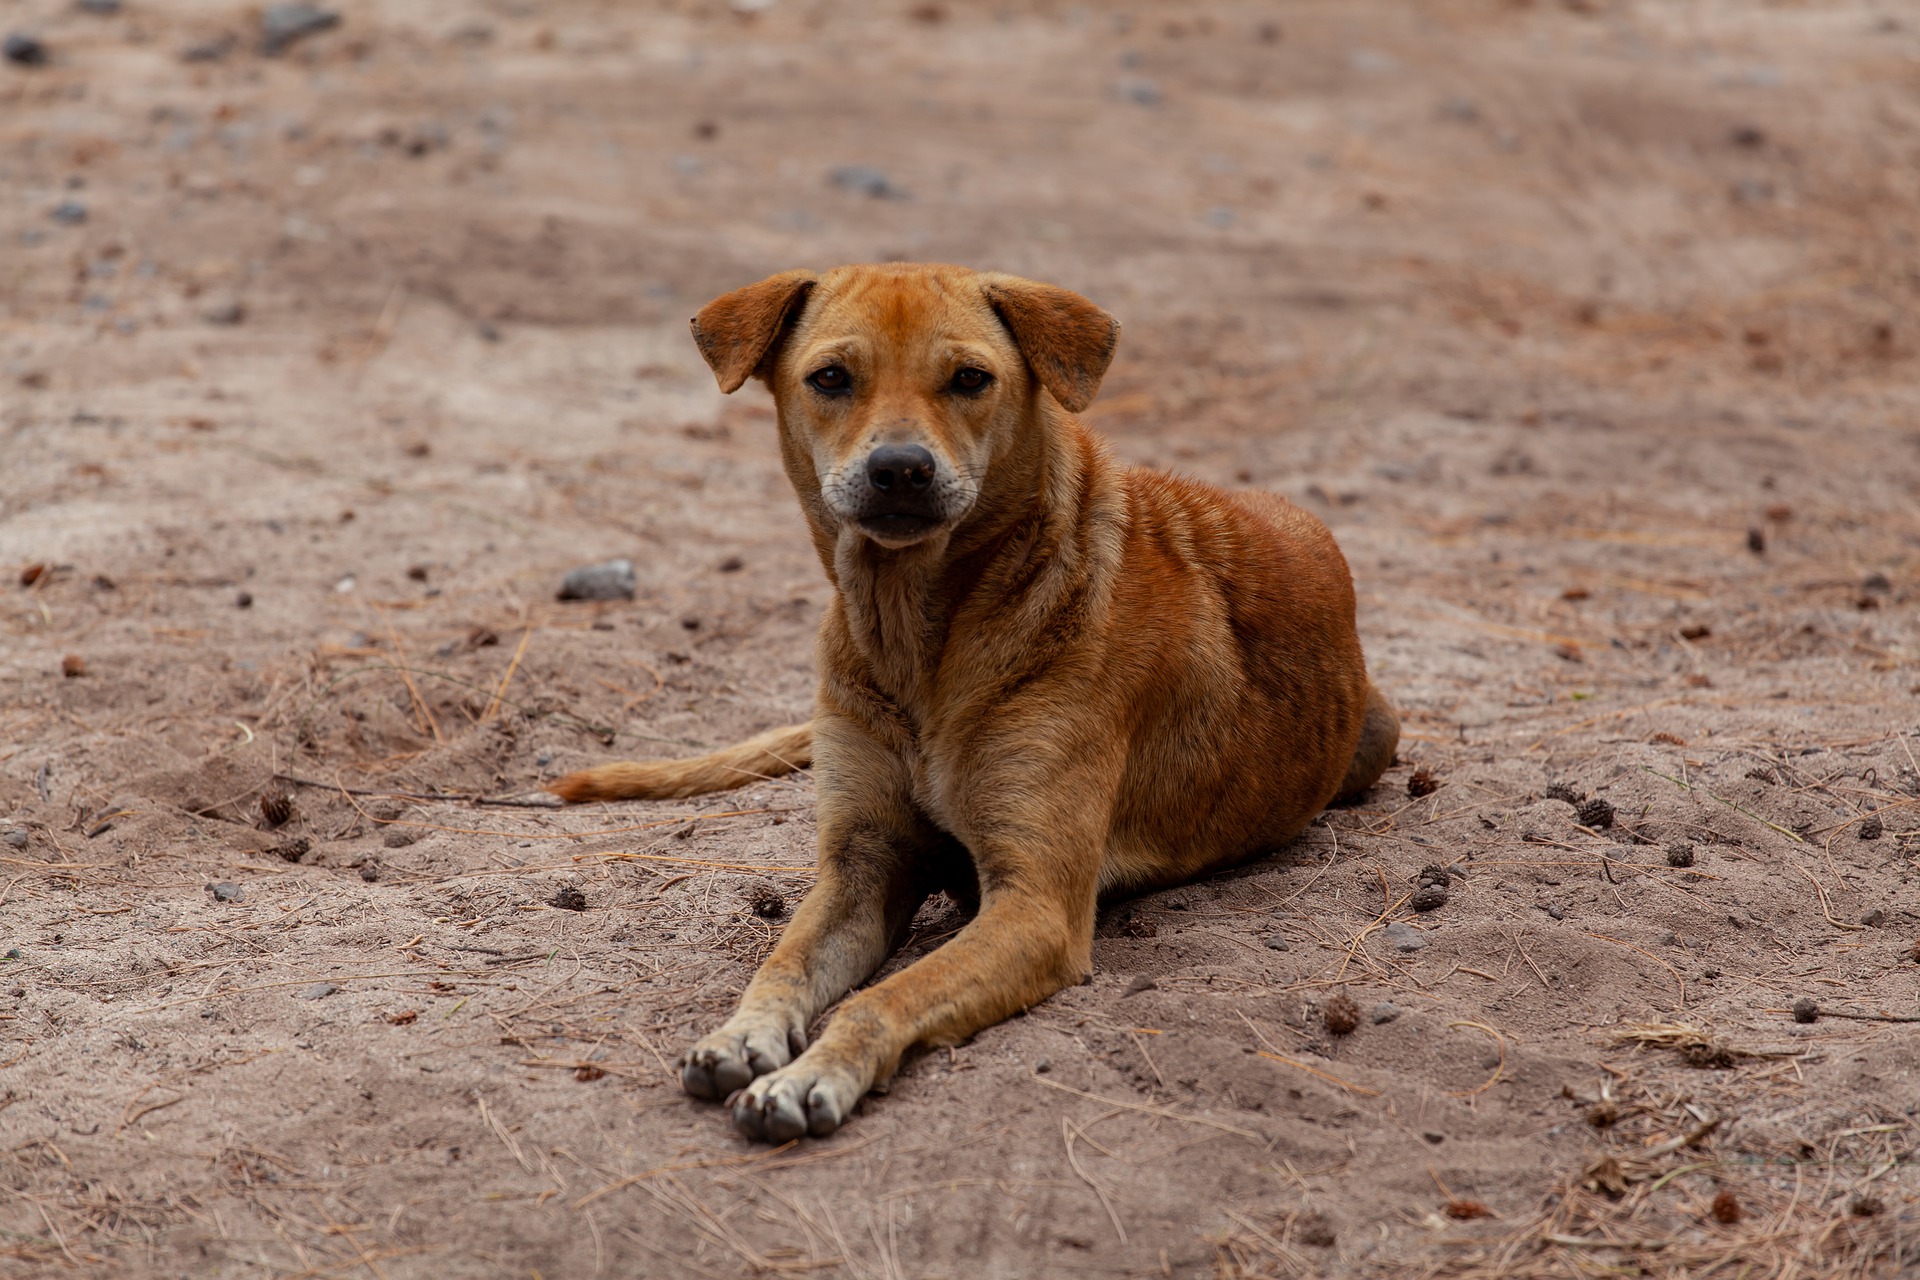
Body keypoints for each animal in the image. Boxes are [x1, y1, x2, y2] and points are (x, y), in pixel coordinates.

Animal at [552, 262, 1397, 1143]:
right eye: (831, 378)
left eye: (969, 379)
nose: (900, 468)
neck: (918, 635)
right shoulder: (861, 866)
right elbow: (781, 962)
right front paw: (741, 1035)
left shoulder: (1035, 907)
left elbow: (883, 997)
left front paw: (812, 1073)